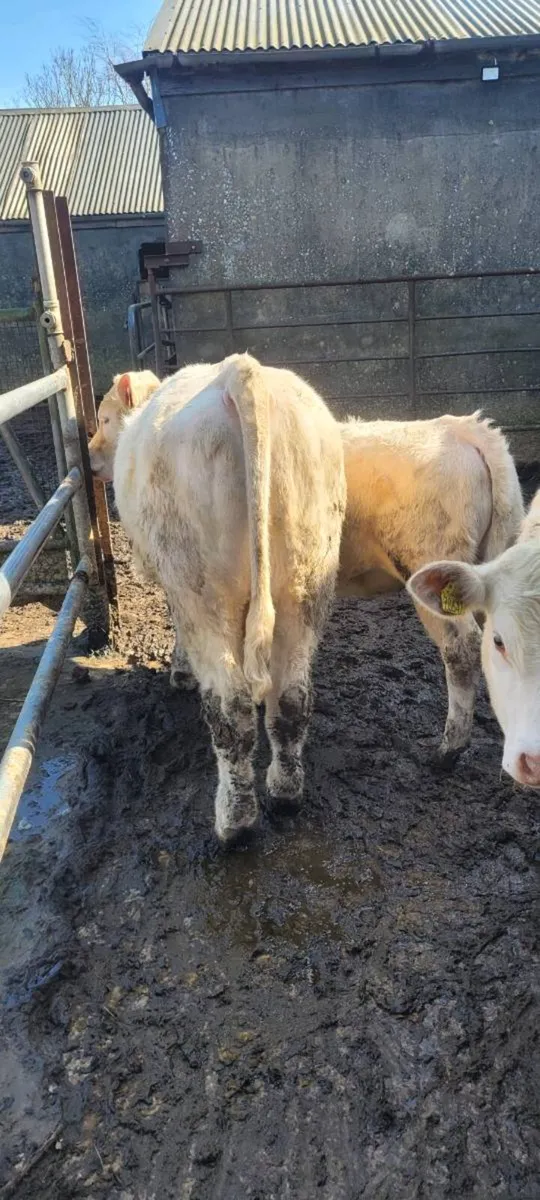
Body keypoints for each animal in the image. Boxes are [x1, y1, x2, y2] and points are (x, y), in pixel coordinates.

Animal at [110, 353, 346, 843]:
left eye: (103, 416)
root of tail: (239, 371)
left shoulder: (175, 588)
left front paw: (180, 673)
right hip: (306, 585)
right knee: (291, 698)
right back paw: (285, 793)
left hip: (201, 589)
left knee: (229, 707)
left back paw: (234, 821)